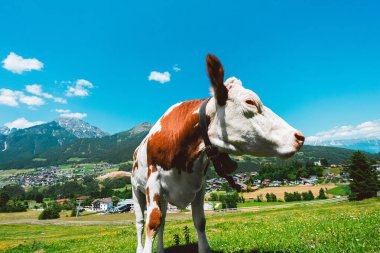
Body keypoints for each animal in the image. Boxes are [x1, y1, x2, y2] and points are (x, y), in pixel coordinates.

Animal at [132, 54, 304, 252]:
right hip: (136, 190)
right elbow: (152, 223)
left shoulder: (199, 185)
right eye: (250, 102)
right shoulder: (154, 183)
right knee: (140, 222)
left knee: (164, 221)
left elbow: (199, 221)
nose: (299, 137)